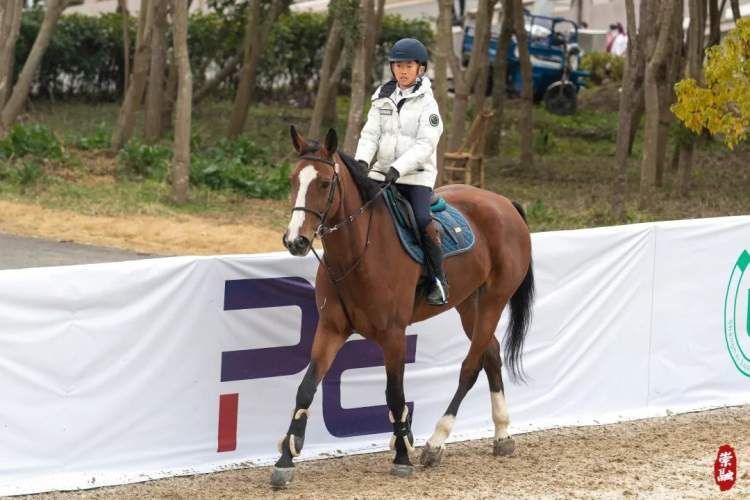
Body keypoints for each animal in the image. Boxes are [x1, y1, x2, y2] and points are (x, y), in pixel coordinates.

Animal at [270, 126, 536, 488]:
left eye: (324, 183)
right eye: (293, 180)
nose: (295, 241)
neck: (359, 253)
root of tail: (504, 203)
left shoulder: (393, 335)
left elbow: (394, 393)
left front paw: (401, 454)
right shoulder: (331, 329)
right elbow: (306, 388)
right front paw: (286, 458)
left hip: (495, 300)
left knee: (470, 366)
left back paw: (436, 442)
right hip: (470, 304)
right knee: (491, 354)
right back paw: (503, 434)